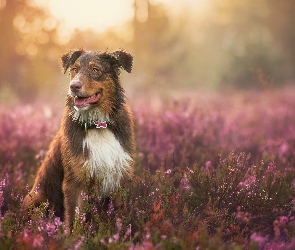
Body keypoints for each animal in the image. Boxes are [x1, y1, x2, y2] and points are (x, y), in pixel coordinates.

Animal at [22, 48, 135, 232]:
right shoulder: (75, 181)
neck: (97, 125)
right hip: (38, 199)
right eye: (74, 69)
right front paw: (75, 237)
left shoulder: (120, 177)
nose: (73, 86)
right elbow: (75, 219)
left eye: (95, 69)